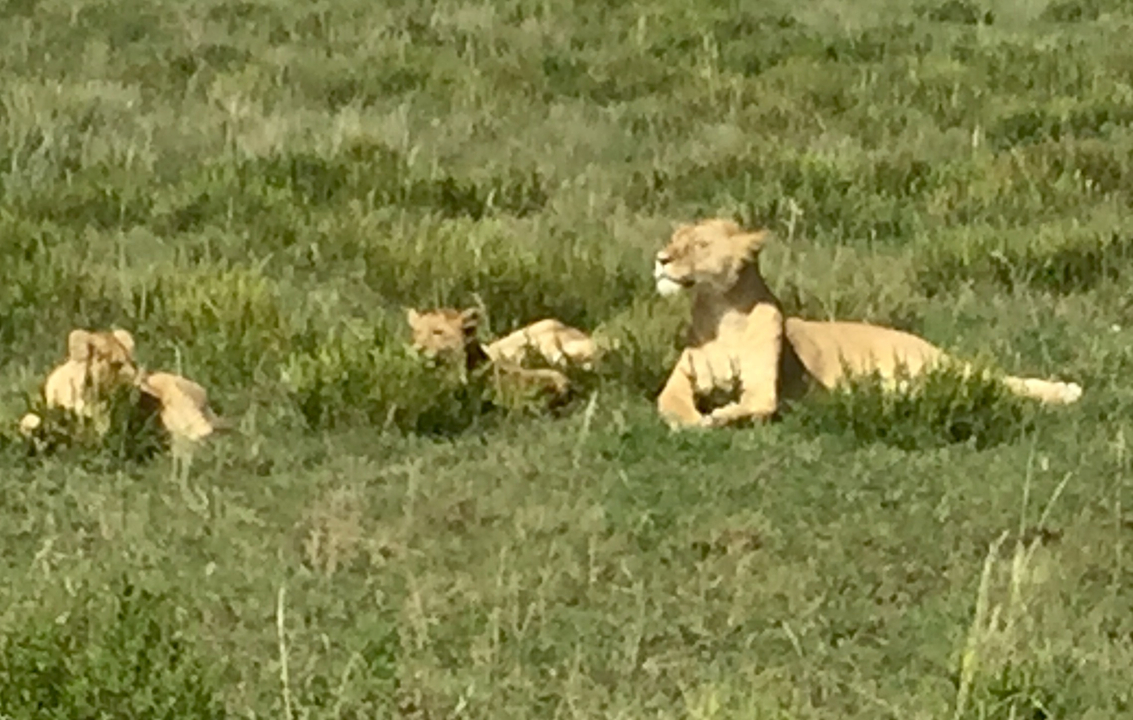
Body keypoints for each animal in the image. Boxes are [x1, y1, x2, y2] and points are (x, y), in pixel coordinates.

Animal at [652, 218, 1084, 428]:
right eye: (673, 238)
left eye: (699, 245)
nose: (660, 258)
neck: (720, 314)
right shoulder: (678, 382)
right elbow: (670, 403)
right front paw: (693, 421)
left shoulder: (764, 389)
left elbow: (755, 404)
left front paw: (718, 415)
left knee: (998, 381)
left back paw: (1064, 392)